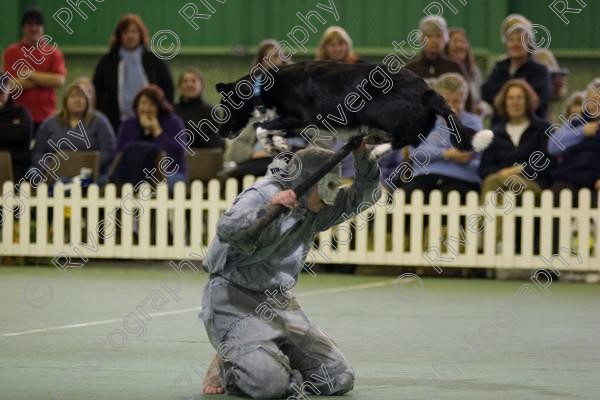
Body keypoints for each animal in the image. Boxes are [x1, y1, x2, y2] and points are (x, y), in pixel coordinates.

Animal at [216, 61, 492, 153]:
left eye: (225, 108)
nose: (221, 134)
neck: (263, 88)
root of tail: (427, 91)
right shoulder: (294, 123)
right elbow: (271, 130)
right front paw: (278, 144)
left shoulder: (302, 116)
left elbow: (262, 126)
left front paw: (272, 140)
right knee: (412, 139)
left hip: (370, 109)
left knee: (406, 139)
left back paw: (378, 149)